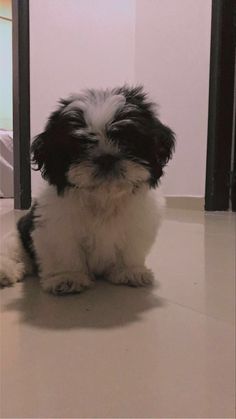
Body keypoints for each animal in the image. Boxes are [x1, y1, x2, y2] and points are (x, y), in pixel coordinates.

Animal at [0, 85, 174, 296]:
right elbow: (65, 252)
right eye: (81, 145)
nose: (106, 158)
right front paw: (68, 277)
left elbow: (130, 249)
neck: (103, 197)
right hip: (18, 236)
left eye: (127, 141)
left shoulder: (137, 224)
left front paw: (129, 271)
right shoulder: (56, 227)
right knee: (13, 252)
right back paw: (5, 271)